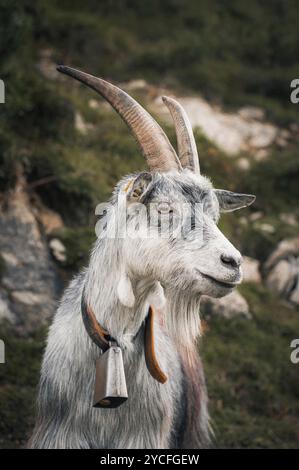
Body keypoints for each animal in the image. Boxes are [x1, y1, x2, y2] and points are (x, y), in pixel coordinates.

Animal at [29, 68, 256, 450]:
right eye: (164, 209)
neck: (112, 344)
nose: (234, 263)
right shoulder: (59, 432)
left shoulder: (145, 437)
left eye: (214, 215)